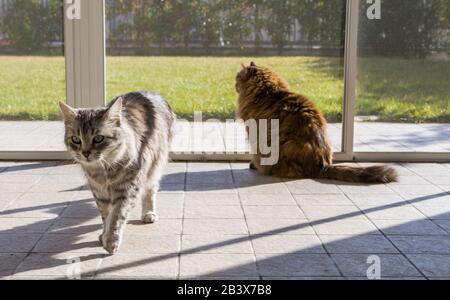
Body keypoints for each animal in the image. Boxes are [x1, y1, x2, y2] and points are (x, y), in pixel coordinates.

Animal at [58, 91, 174, 253]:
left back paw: (148, 213)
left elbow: (116, 216)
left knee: (150, 190)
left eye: (98, 138)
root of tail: (148, 92)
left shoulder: (127, 189)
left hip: (155, 165)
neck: (103, 170)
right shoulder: (99, 192)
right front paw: (104, 235)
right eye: (76, 139)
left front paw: (111, 241)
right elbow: (106, 216)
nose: (85, 153)